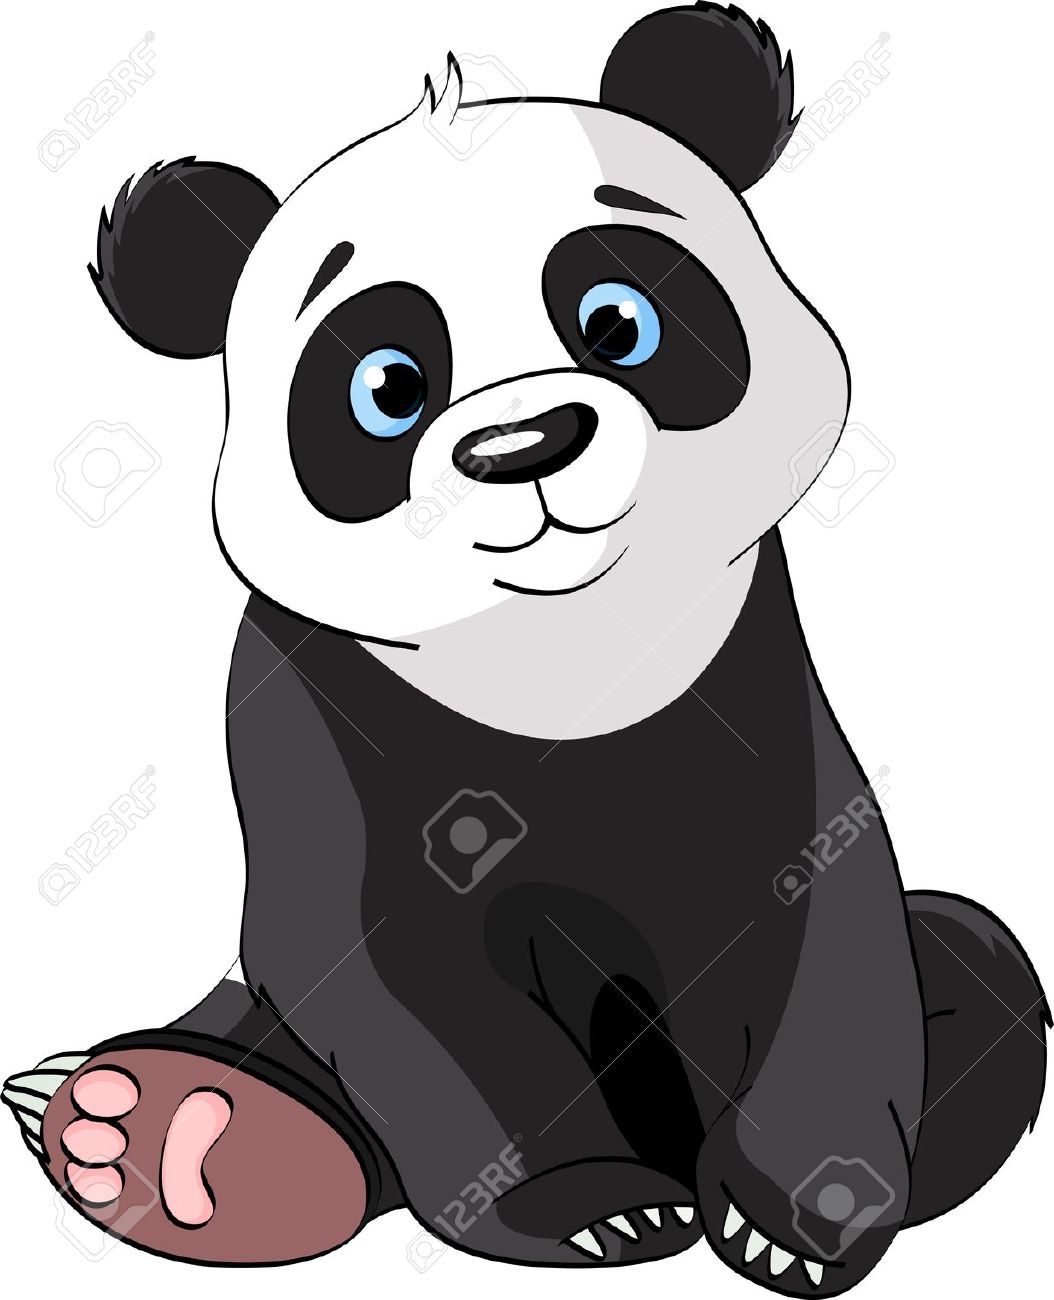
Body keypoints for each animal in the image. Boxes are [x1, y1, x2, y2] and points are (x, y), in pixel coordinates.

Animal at [4, 5, 1047, 1295]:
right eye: (385, 385)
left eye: (618, 319)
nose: (523, 446)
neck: (556, 650)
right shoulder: (323, 715)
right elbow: (395, 973)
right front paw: (594, 1210)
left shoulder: (755, 693)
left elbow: (813, 922)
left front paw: (794, 1218)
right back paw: (170, 1131)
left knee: (968, 964)